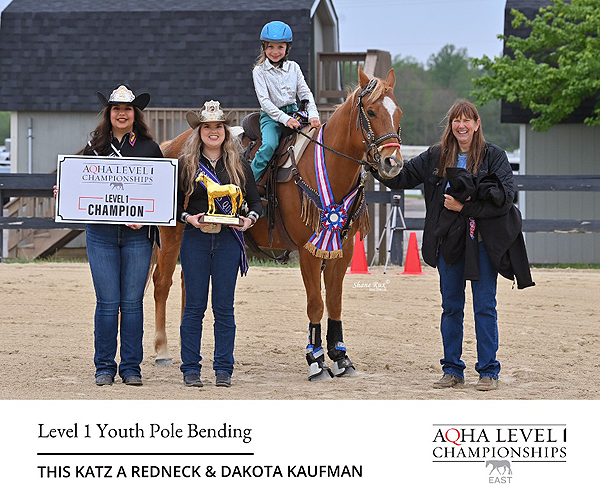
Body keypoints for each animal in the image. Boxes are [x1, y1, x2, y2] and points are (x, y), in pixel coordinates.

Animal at [152, 66, 403, 379]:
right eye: (370, 111)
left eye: (398, 112)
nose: (393, 162)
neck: (328, 169)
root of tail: (171, 144)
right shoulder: (308, 251)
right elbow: (316, 304)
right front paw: (316, 360)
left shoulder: (342, 252)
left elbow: (334, 303)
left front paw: (341, 357)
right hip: (172, 234)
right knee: (162, 283)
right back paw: (162, 351)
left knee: (188, 283)